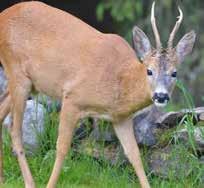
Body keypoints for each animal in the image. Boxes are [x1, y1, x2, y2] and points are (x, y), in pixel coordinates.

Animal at [0, 1, 196, 188]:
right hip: (18, 74)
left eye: (174, 73)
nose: (161, 96)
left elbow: (135, 155)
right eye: (149, 71)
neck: (120, 80)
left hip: (28, 83)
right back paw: (29, 183)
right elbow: (62, 148)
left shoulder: (121, 118)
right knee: (15, 131)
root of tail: (4, 14)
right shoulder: (71, 98)